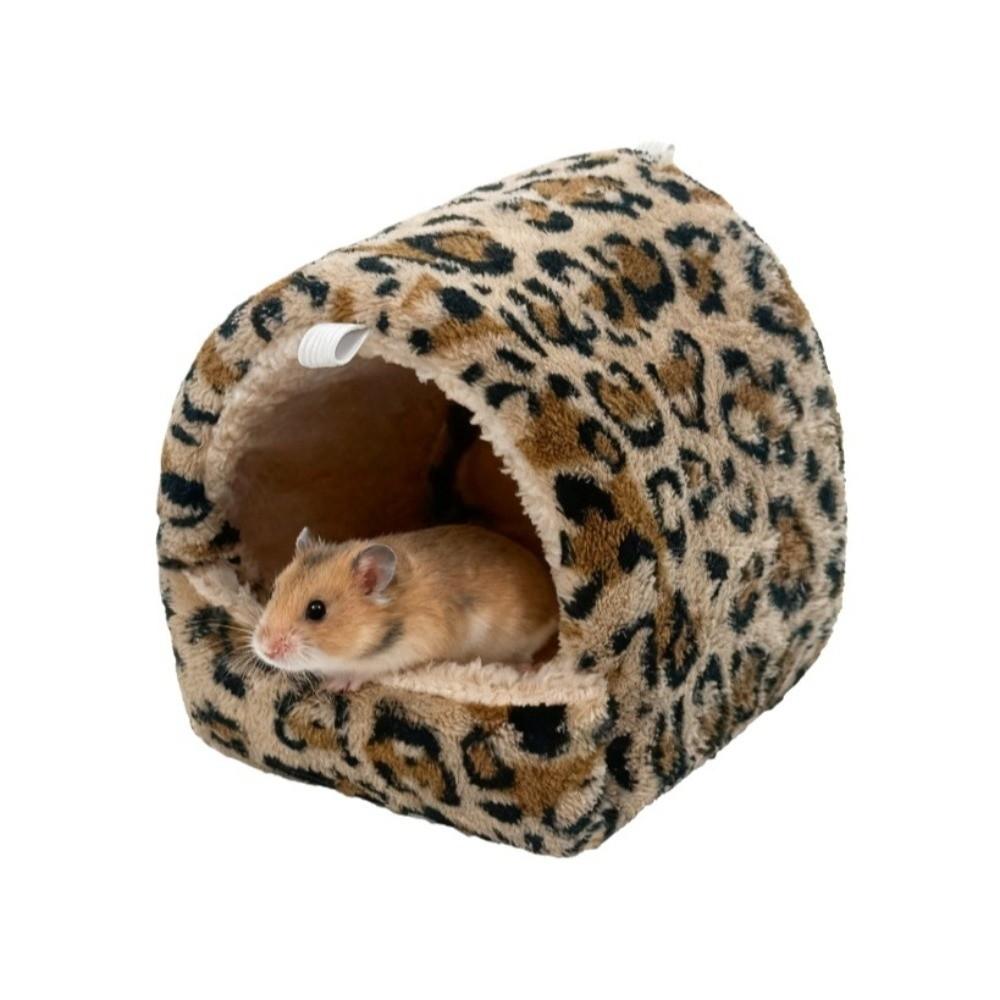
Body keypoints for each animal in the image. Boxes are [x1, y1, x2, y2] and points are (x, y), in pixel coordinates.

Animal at [252, 524, 559, 691]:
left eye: (316, 610)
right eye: (274, 590)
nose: (265, 650)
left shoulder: (411, 647)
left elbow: (365, 670)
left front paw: (335, 685)